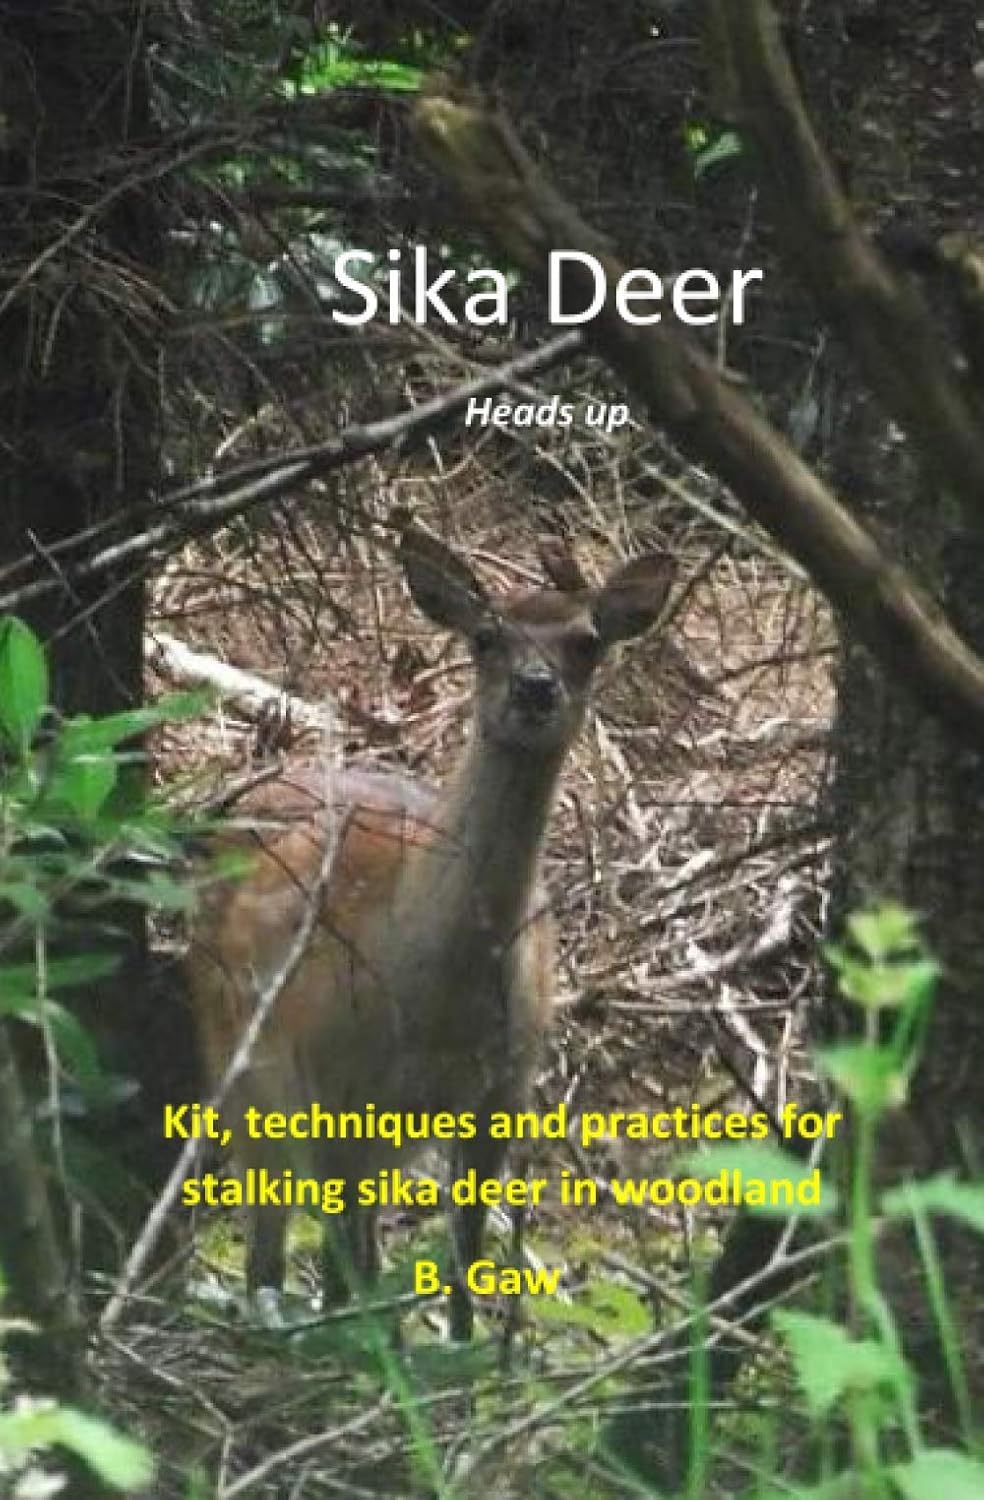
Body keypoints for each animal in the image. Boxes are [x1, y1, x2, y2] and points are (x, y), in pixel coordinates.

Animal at [186, 525, 673, 1338]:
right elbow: (346, 1265)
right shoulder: (332, 1075)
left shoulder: (504, 1087)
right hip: (246, 1059)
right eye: (485, 636)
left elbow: (464, 1256)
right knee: (273, 1227)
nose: (534, 688)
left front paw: (463, 1351)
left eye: (587, 641)